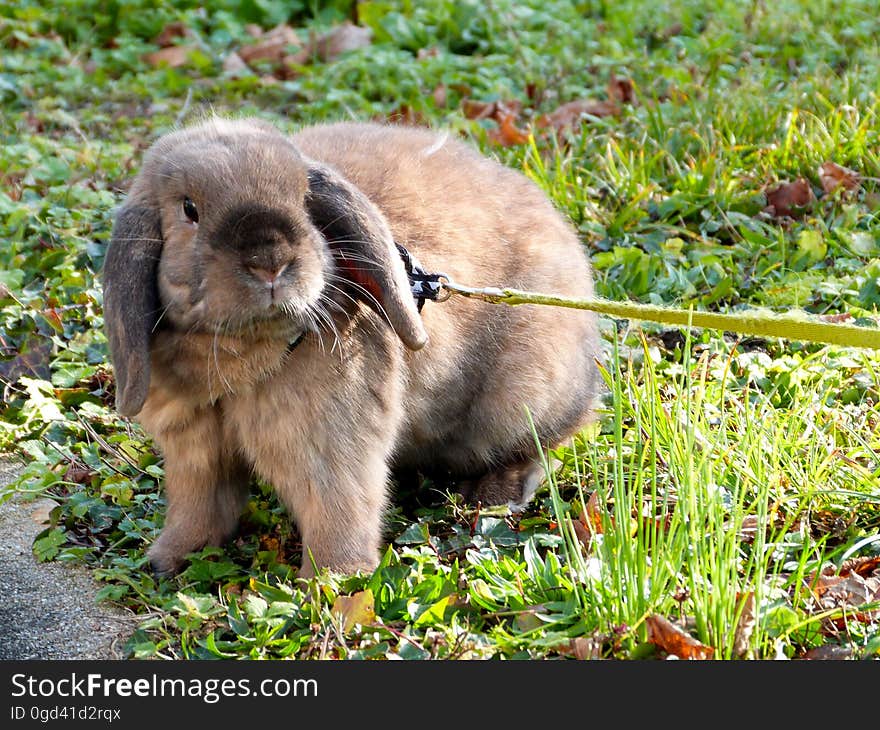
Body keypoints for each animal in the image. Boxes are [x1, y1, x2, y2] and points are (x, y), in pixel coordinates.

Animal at [101, 118, 600, 576]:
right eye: (189, 209)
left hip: (519, 404)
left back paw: (494, 494)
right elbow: (200, 507)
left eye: (302, 198)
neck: (239, 355)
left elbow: (338, 509)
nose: (270, 261)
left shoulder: (330, 450)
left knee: (539, 447)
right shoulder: (195, 454)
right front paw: (168, 559)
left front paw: (333, 581)